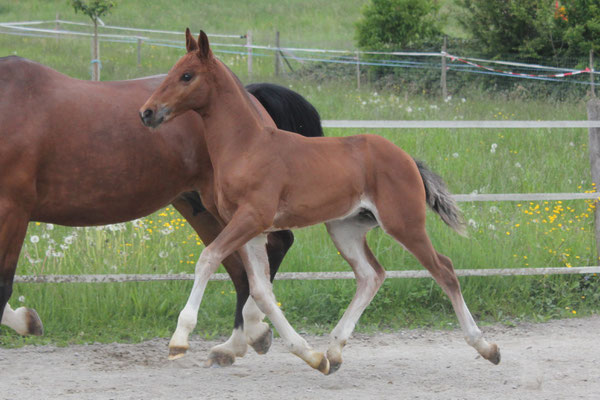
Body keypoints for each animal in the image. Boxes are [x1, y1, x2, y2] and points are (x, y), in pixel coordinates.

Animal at [141, 30, 502, 376]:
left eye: (187, 75)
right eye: (173, 71)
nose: (147, 112)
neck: (247, 147)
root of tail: (407, 159)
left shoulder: (252, 219)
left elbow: (208, 259)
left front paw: (180, 339)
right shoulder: (252, 231)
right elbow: (262, 292)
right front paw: (310, 356)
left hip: (404, 224)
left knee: (444, 270)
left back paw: (486, 347)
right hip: (345, 229)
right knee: (371, 276)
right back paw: (334, 351)